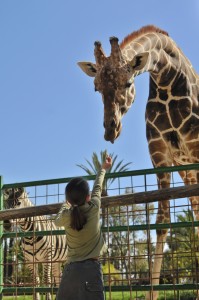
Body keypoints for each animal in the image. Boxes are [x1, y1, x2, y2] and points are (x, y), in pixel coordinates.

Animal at [77, 24, 199, 298]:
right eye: (96, 88)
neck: (167, 80)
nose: (110, 130)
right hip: (186, 170)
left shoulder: (195, 147)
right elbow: (162, 222)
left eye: (128, 82)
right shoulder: (159, 154)